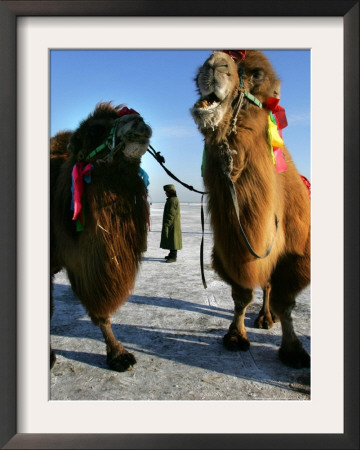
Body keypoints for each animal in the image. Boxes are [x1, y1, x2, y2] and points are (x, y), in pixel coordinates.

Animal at [191, 51, 310, 368]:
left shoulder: (296, 258)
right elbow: (241, 295)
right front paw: (235, 336)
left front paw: (294, 351)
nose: (214, 64)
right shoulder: (229, 252)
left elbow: (285, 302)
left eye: (256, 74)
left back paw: (267, 318)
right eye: (196, 75)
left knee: (270, 288)